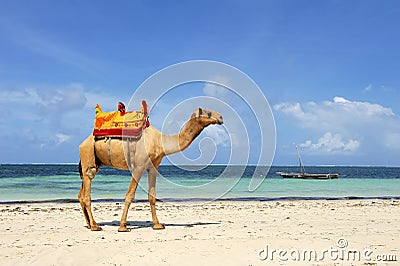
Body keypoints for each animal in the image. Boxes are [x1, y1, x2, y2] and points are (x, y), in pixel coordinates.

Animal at [76, 107, 223, 232]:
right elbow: (130, 195)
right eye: (208, 113)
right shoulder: (139, 166)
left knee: (81, 193)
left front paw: (157, 225)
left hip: (94, 162)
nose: (221, 117)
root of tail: (82, 143)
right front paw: (123, 226)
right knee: (87, 189)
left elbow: (152, 196)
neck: (159, 141)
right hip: (88, 155)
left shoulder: (153, 167)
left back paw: (89, 225)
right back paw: (95, 226)